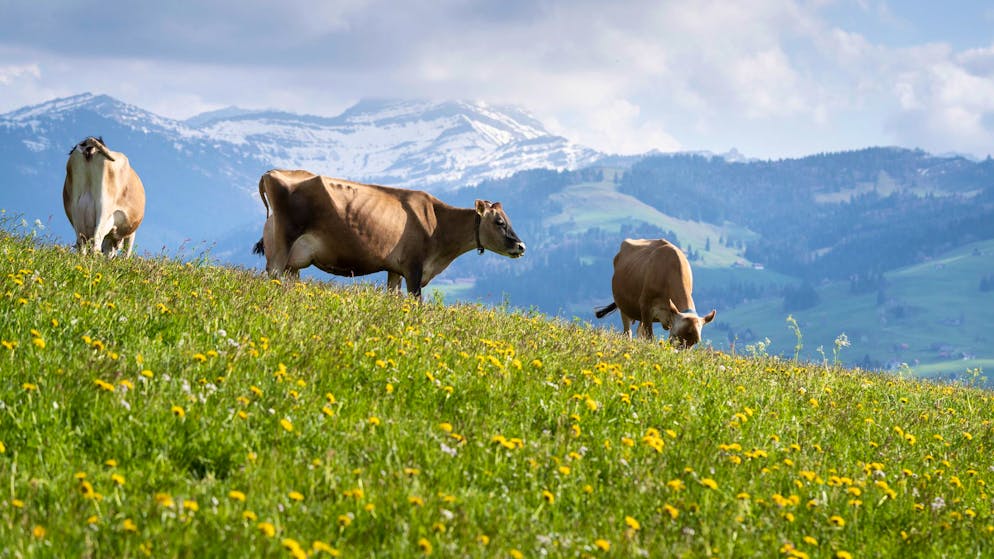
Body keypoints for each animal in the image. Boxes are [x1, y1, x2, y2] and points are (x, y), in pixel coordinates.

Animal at [252, 169, 526, 298]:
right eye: (500, 222)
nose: (521, 246)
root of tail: (271, 173)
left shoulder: (395, 270)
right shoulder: (414, 268)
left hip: (294, 262)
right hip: (282, 246)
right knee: (273, 277)